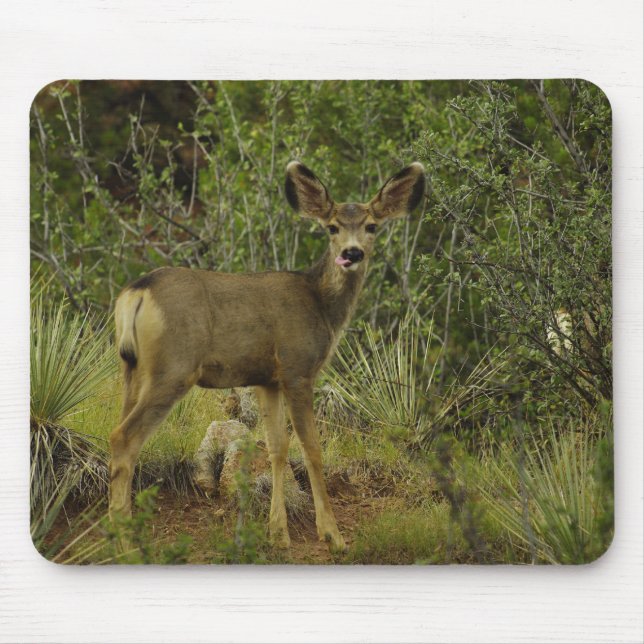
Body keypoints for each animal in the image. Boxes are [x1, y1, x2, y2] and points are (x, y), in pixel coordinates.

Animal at [109, 160, 425, 552]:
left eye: (371, 226)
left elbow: (276, 447)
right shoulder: (296, 367)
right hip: (174, 367)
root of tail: (135, 293)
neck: (321, 306)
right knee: (123, 438)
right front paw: (332, 534)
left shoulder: (266, 379)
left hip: (132, 368)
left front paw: (278, 534)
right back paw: (125, 543)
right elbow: (312, 449)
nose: (352, 253)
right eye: (332, 227)